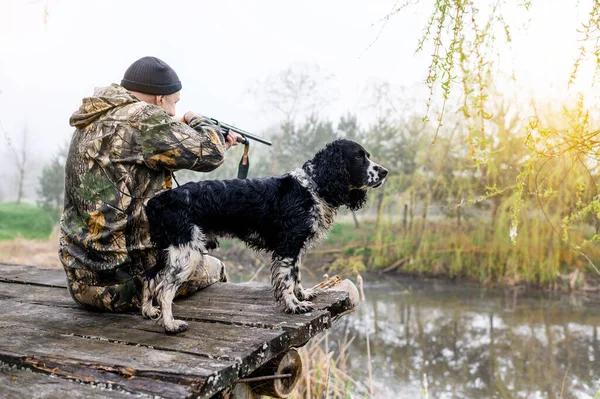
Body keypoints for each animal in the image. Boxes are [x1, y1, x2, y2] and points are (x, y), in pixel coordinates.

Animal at [143, 139, 386, 332]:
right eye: (358, 156)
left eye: (367, 155)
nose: (384, 172)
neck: (313, 187)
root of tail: (159, 200)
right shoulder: (288, 244)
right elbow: (287, 279)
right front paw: (294, 305)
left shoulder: (295, 246)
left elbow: (296, 274)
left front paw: (302, 294)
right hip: (187, 253)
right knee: (165, 289)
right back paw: (170, 324)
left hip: (169, 250)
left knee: (149, 276)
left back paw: (148, 311)